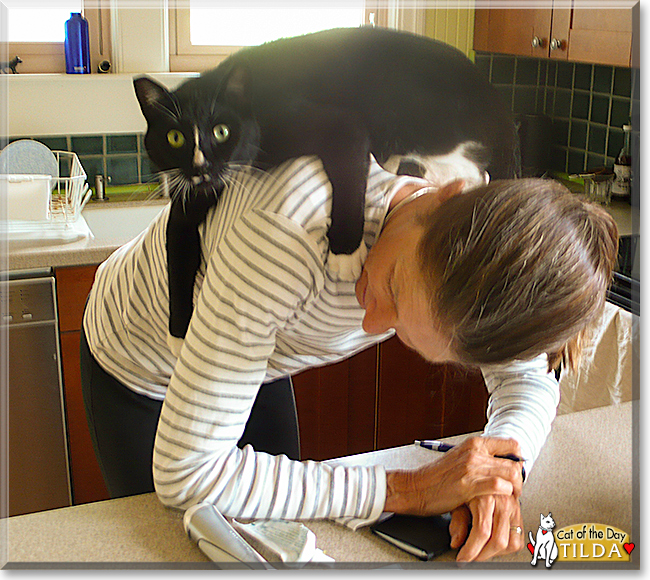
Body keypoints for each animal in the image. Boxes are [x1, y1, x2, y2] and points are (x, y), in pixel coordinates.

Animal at [133, 27, 516, 342]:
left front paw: (343, 252)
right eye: (174, 138)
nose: (200, 165)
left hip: (408, 114)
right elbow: (176, 247)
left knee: (469, 172)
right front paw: (177, 333)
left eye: (221, 132)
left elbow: (348, 169)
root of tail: (497, 102)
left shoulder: (340, 125)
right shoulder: (191, 197)